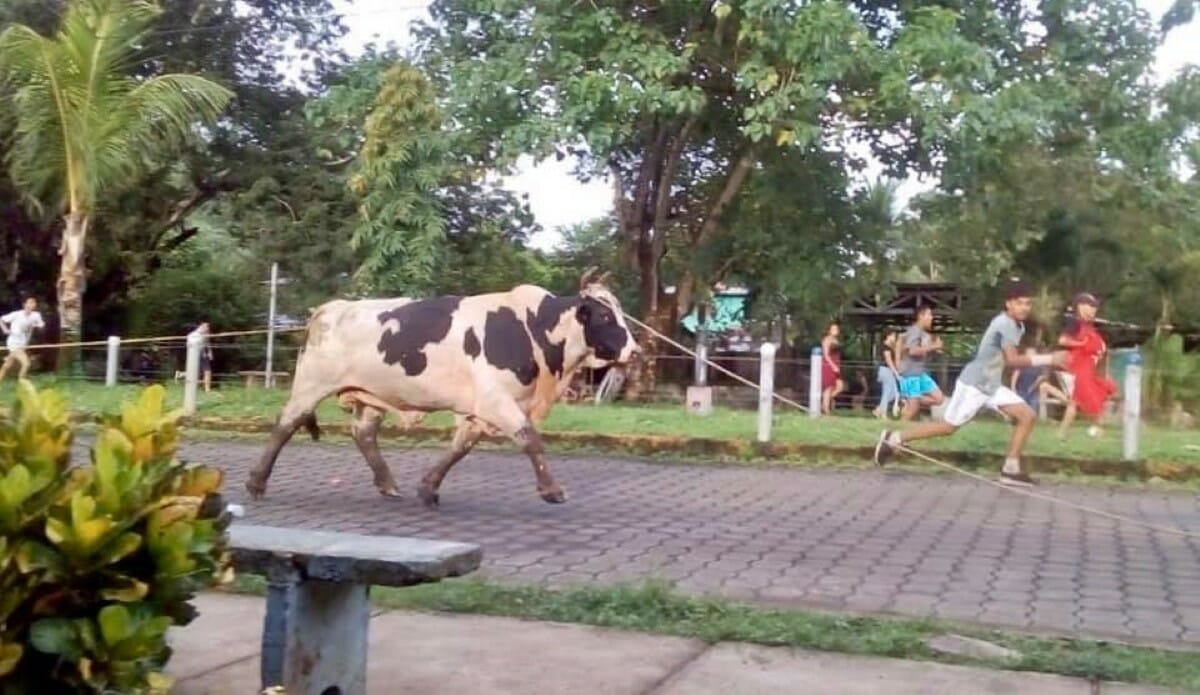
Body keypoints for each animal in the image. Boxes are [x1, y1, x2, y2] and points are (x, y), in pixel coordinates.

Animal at [243, 270, 638, 506]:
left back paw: (388, 483)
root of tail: (330, 308)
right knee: (285, 424)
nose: (636, 351)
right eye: (605, 315)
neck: (533, 328)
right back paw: (257, 483)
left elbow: (459, 447)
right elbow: (530, 439)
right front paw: (552, 490)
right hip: (311, 385)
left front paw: (429, 487)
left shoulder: (480, 408)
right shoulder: (497, 400)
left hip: (371, 395)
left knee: (363, 433)